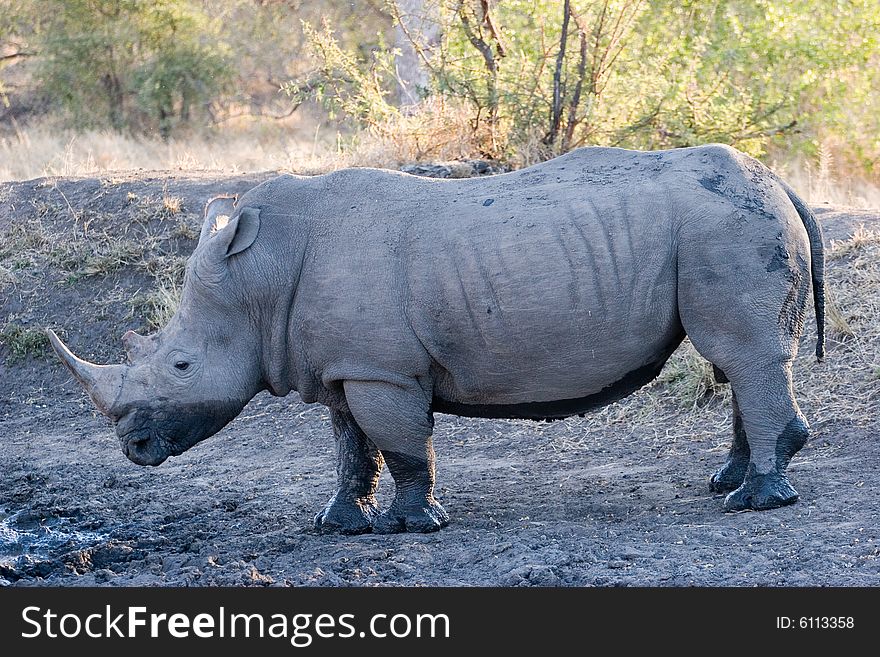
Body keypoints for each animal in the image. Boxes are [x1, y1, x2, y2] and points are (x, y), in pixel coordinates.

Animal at [48, 145, 824, 532]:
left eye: (181, 364)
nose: (133, 447)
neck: (257, 279)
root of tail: (778, 181)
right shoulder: (345, 366)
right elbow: (350, 447)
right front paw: (338, 525)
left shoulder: (382, 369)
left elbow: (400, 445)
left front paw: (418, 524)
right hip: (723, 223)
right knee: (738, 361)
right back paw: (727, 482)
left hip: (725, 225)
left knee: (743, 354)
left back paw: (751, 503)